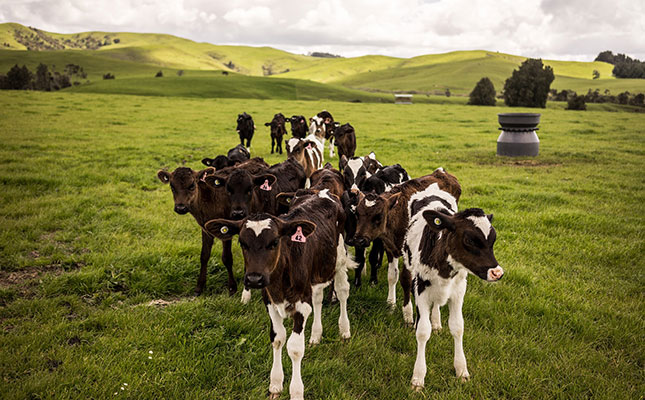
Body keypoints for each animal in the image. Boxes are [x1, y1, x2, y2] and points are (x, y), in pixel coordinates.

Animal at [206, 189, 354, 398]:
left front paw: (296, 392)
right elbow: (277, 338)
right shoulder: (269, 301)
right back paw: (316, 335)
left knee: (342, 292)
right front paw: (275, 384)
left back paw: (344, 330)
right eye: (242, 243)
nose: (254, 279)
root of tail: (321, 191)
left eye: (274, 242)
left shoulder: (301, 304)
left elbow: (295, 348)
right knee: (318, 298)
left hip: (339, 258)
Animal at [350, 167, 460, 324]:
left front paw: (407, 313)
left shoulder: (409, 254)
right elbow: (392, 276)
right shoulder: (390, 248)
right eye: (357, 214)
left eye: (378, 216)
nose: (359, 240)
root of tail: (442, 172)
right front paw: (391, 304)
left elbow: (406, 279)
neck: (398, 214)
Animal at [408, 200, 504, 388]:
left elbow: (458, 327)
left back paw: (436, 322)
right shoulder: (421, 288)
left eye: (493, 239)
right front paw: (418, 377)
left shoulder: (459, 290)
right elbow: (423, 331)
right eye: (469, 240)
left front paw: (461, 370)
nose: (497, 272)